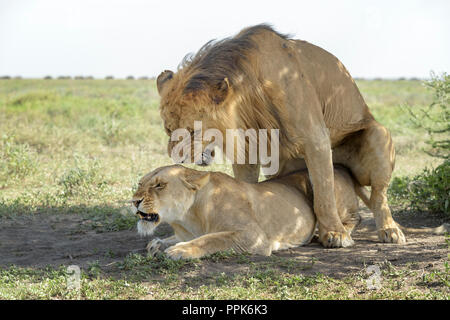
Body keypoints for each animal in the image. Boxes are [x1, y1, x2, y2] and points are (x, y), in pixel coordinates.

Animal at [130, 164, 362, 258]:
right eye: (140, 184)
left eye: (159, 185)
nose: (134, 201)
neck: (188, 218)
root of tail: (342, 168)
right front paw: (158, 243)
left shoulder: (254, 236)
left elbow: (212, 239)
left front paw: (180, 250)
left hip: (321, 186)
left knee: (354, 217)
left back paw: (334, 236)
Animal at [157, 23, 404, 249]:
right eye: (169, 129)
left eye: (193, 131)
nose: (178, 159)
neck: (248, 93)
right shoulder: (248, 147)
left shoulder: (316, 137)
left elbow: (324, 193)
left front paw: (335, 234)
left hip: (378, 134)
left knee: (378, 196)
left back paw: (389, 230)